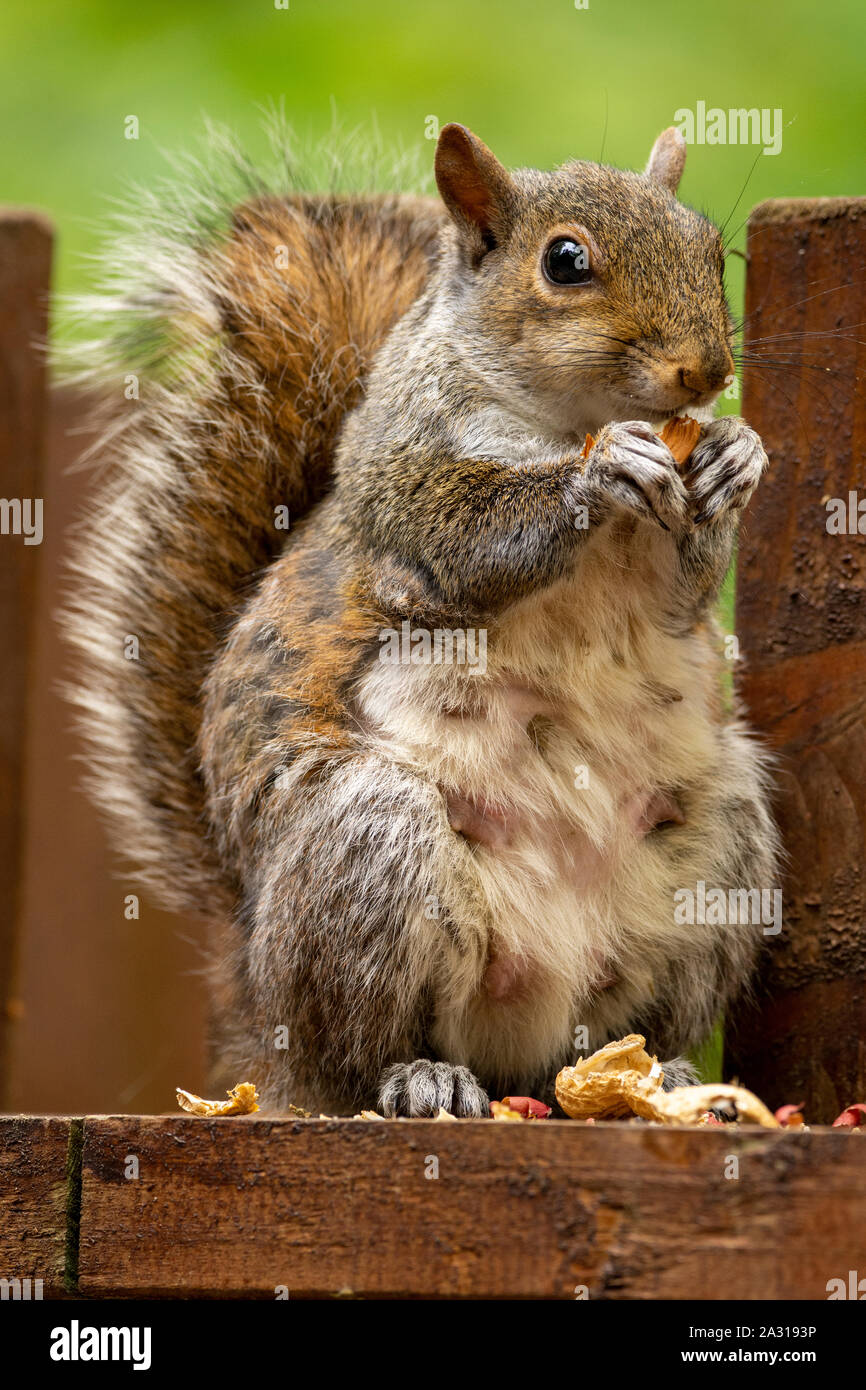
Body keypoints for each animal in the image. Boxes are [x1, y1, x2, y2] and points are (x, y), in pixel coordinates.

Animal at [62, 119, 778, 1117]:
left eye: (712, 248)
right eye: (564, 262)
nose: (707, 370)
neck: (570, 419)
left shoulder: (667, 576)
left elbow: (686, 586)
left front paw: (735, 455)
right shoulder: (406, 493)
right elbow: (472, 537)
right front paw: (595, 475)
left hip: (722, 850)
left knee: (610, 1036)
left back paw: (657, 1073)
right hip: (372, 842)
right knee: (357, 1059)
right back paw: (420, 1076)